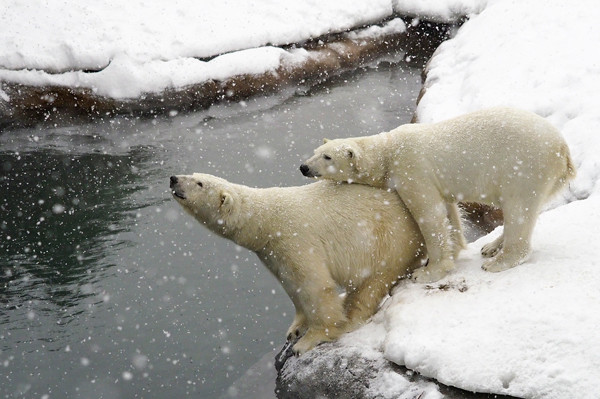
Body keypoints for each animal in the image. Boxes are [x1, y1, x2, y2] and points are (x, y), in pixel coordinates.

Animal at [169, 173, 424, 354]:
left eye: (199, 183)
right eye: (193, 173)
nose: (173, 178)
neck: (266, 221)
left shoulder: (295, 239)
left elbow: (313, 286)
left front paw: (309, 340)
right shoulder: (271, 253)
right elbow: (291, 285)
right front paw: (295, 329)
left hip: (389, 240)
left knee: (372, 283)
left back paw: (350, 318)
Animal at [302, 108, 576, 284]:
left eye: (327, 157)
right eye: (315, 151)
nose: (303, 167)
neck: (388, 151)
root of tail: (563, 149)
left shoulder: (412, 169)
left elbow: (428, 214)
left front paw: (426, 272)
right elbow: (448, 211)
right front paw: (454, 250)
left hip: (525, 166)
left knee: (518, 208)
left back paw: (498, 261)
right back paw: (491, 246)